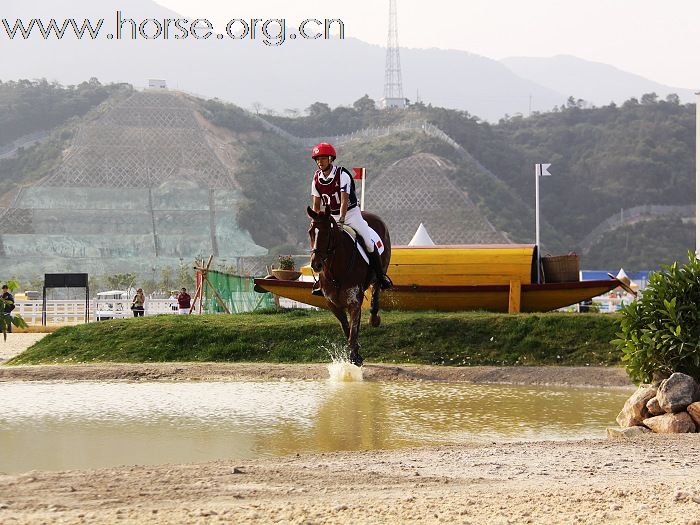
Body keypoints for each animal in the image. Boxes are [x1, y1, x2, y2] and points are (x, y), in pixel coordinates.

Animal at [308, 207, 394, 366]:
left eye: (327, 233)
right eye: (311, 232)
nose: (316, 264)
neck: (336, 270)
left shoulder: (354, 302)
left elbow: (353, 331)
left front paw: (355, 357)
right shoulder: (333, 304)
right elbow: (346, 328)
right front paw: (356, 352)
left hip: (380, 268)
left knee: (376, 287)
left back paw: (374, 318)